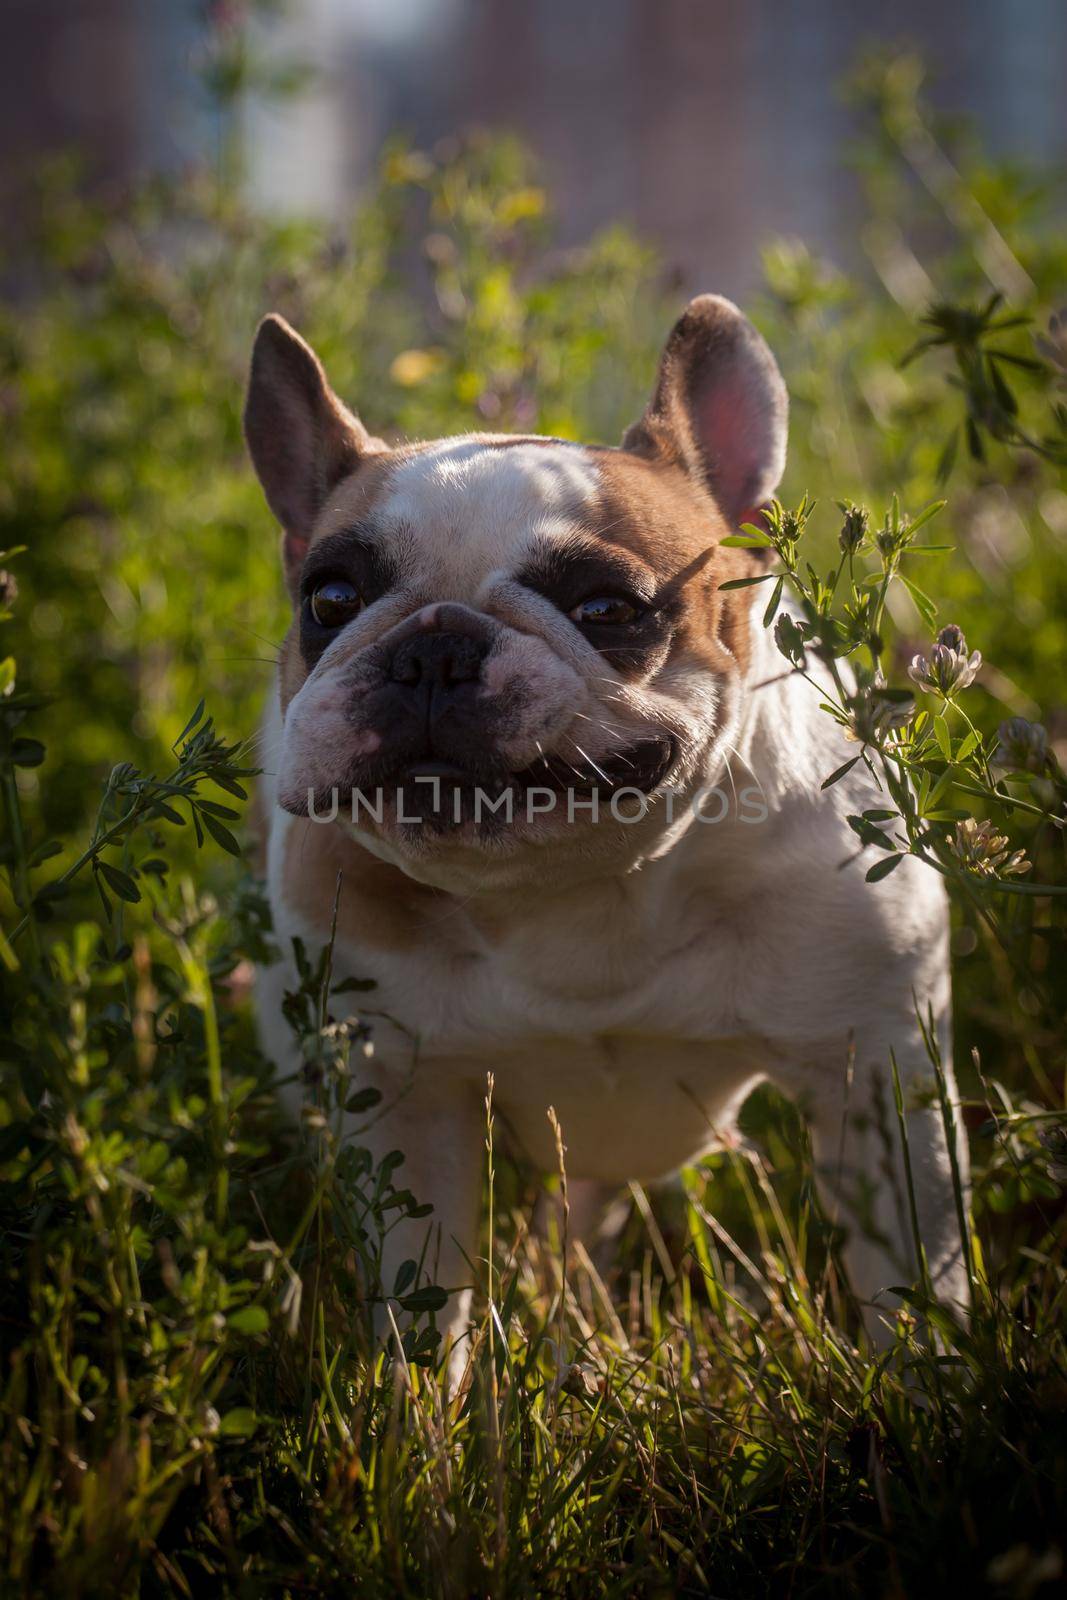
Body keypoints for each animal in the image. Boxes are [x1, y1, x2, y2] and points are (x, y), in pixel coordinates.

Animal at [246, 297, 972, 1363]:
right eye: (330, 599)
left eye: (606, 608)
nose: (434, 648)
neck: (568, 897)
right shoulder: (403, 1104)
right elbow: (424, 1313)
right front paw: (417, 1411)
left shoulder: (873, 1074)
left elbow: (913, 1277)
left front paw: (932, 1380)